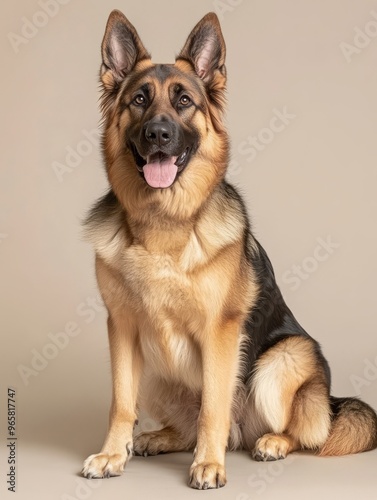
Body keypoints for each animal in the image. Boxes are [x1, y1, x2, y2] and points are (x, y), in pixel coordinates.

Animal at [82, 10, 376, 488]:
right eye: (140, 99)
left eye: (184, 101)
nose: (158, 134)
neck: (165, 224)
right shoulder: (122, 329)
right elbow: (121, 403)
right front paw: (112, 455)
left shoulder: (220, 332)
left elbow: (213, 408)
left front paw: (209, 464)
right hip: (155, 369)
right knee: (187, 424)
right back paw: (158, 438)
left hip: (282, 360)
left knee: (299, 431)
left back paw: (270, 443)